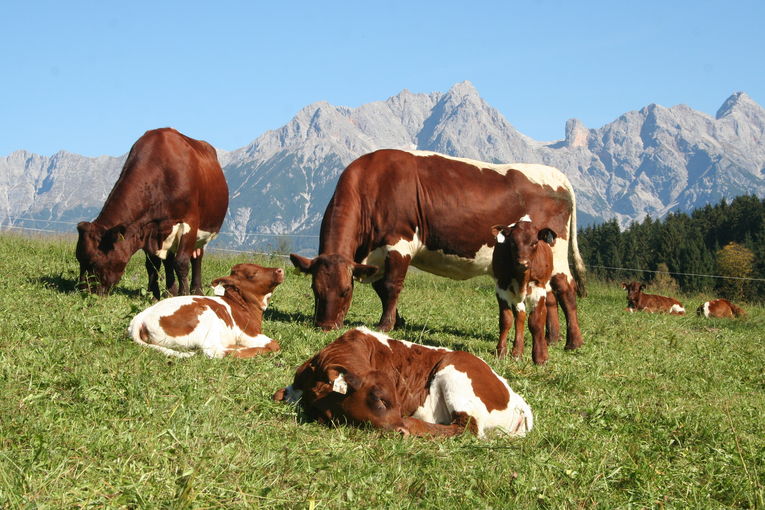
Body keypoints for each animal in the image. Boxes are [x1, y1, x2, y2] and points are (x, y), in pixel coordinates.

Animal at [76, 127, 228, 300]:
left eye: (93, 261)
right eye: (79, 258)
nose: (83, 290)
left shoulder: (189, 222)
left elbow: (181, 263)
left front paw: (183, 294)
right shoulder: (146, 229)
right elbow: (152, 265)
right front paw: (154, 294)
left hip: (201, 230)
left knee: (196, 258)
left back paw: (196, 291)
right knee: (168, 260)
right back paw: (169, 291)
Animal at [128, 262, 284, 358]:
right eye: (252, 274)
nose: (280, 270)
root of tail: (141, 317)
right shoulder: (248, 334)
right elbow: (274, 344)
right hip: (206, 318)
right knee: (214, 351)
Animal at [274, 326, 532, 438]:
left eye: (381, 399)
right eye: (328, 418)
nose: (398, 430)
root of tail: (518, 400)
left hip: (456, 370)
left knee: (466, 428)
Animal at [490, 217, 556, 364]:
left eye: (535, 242)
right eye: (512, 242)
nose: (523, 263)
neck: (522, 277)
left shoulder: (538, 288)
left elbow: (536, 322)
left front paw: (540, 357)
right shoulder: (501, 287)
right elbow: (506, 320)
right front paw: (501, 352)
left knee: (542, 315)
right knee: (520, 317)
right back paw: (517, 353)